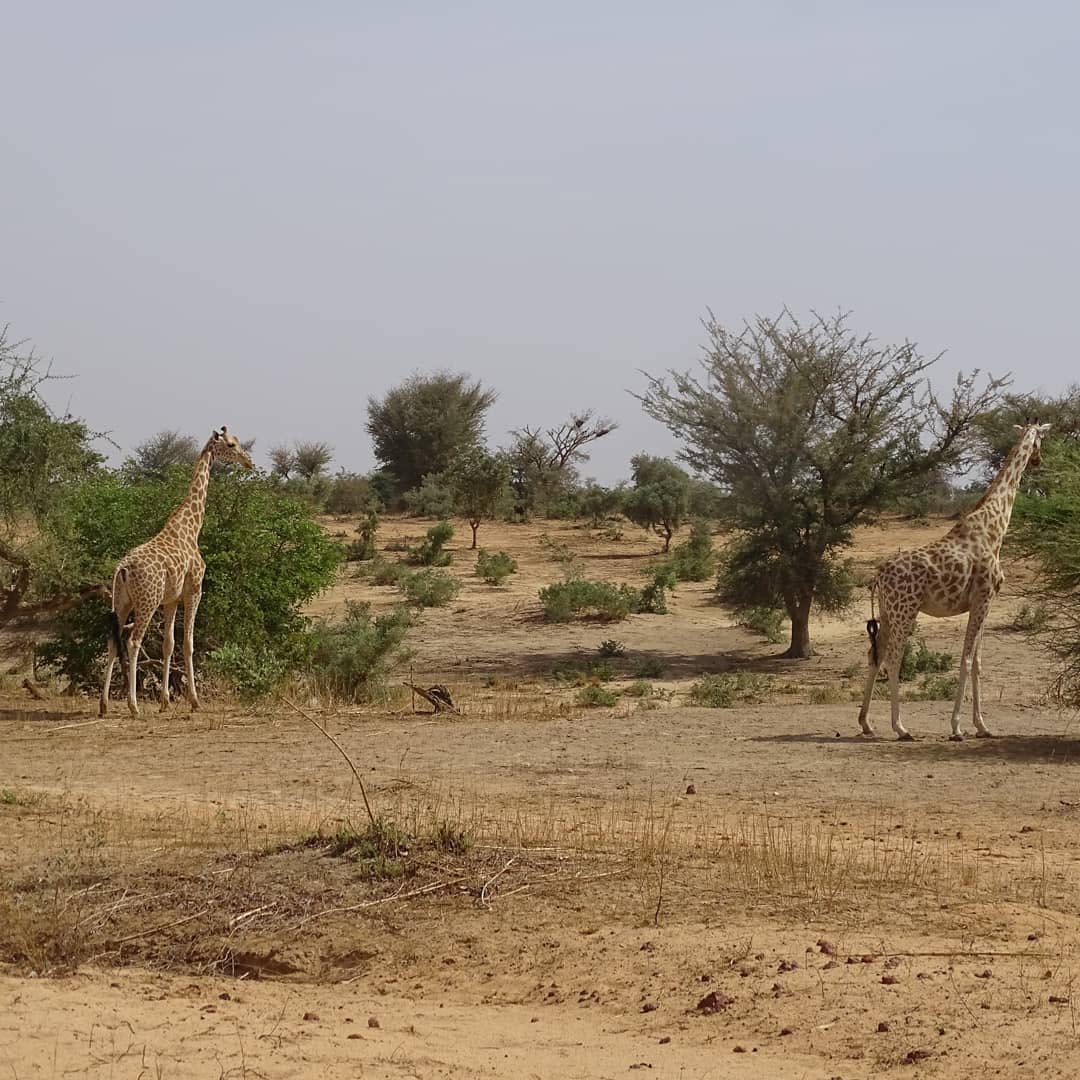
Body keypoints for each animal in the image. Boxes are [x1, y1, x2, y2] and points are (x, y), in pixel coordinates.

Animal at [99, 427, 254, 717]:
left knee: (113, 641)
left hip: (122, 602)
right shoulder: (194, 590)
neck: (191, 528)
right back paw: (134, 706)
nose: (248, 462)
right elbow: (188, 644)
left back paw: (103, 705)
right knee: (133, 642)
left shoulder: (170, 599)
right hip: (146, 602)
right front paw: (194, 700)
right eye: (231, 444)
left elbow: (168, 644)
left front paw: (165, 701)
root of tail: (123, 569)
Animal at [856, 421, 1050, 741]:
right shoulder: (983, 598)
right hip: (905, 611)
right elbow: (967, 659)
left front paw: (982, 726)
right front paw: (957, 726)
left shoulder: (985, 603)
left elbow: (978, 663)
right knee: (894, 658)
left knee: (876, 654)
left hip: (887, 612)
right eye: (1041, 441)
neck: (995, 527)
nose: (1038, 461)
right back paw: (901, 728)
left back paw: (866, 723)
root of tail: (878, 576)